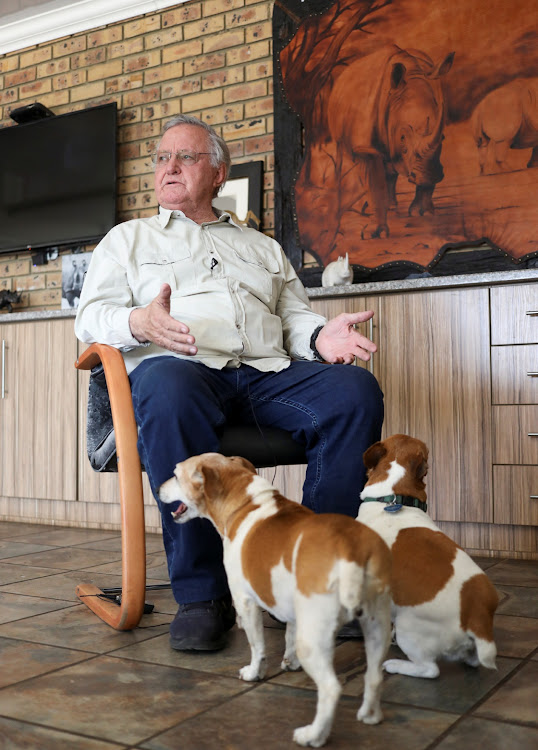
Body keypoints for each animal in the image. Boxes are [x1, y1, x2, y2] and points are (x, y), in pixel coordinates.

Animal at [159, 456, 390, 748]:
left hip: (313, 641)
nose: (157, 489)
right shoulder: (291, 608)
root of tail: (350, 549)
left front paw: (254, 673)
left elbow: (257, 646)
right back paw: (370, 715)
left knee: (331, 689)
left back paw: (313, 735)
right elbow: (288, 636)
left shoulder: (245, 602)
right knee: (374, 676)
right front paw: (290, 663)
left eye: (176, 475)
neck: (245, 502)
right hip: (378, 629)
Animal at [356, 434, 498, 680]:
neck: (393, 498)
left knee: (430, 670)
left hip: (409, 627)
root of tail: (476, 614)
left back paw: (396, 665)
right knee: (472, 659)